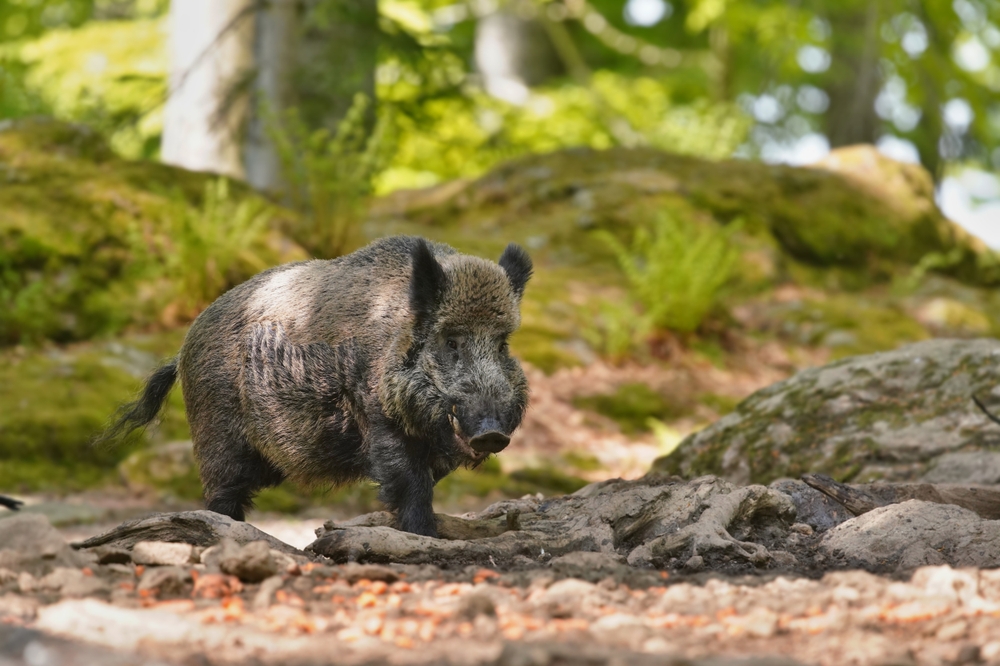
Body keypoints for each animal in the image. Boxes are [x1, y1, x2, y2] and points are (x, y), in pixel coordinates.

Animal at [101, 236, 532, 536]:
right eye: (452, 341)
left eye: (502, 344)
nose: (492, 433)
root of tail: (182, 349)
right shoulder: (378, 417)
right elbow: (410, 484)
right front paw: (425, 535)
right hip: (216, 432)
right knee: (221, 494)